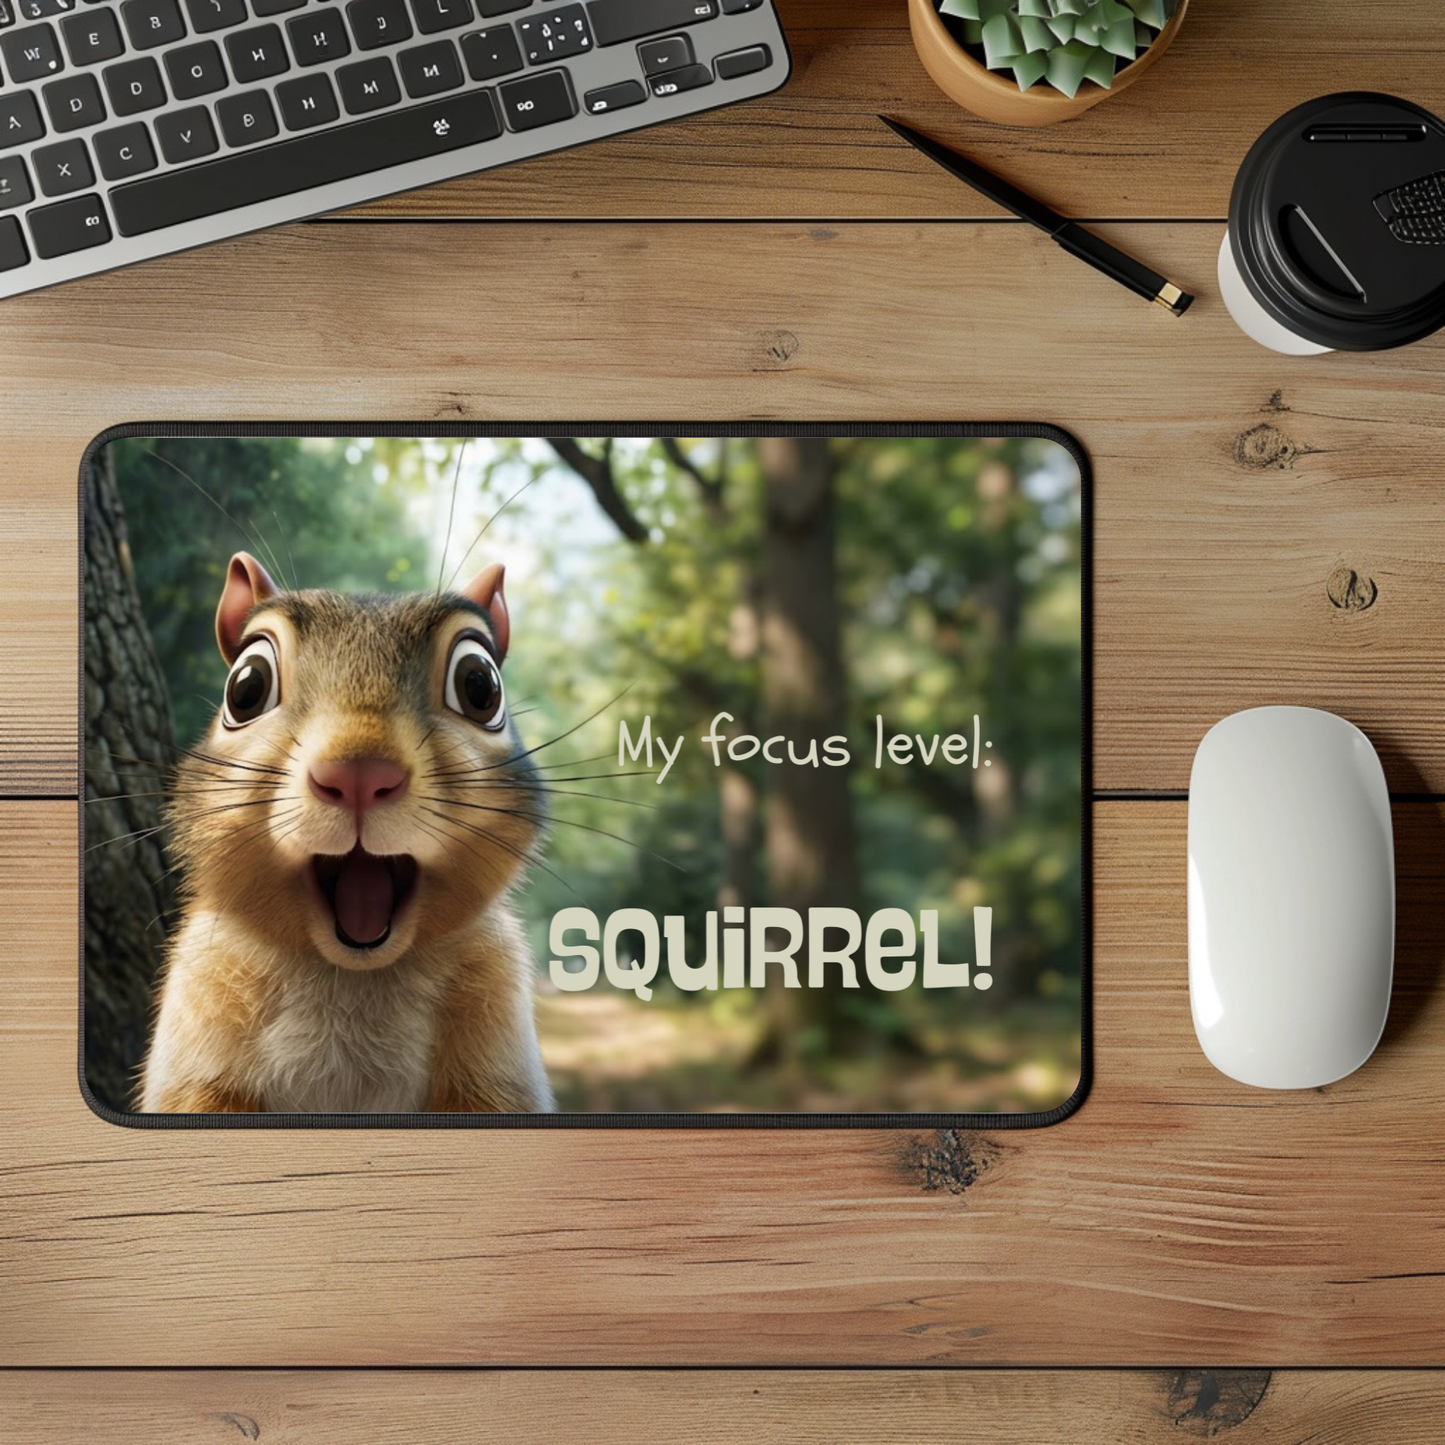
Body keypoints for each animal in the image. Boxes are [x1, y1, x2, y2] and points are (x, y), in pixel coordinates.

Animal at [137, 551, 556, 1114]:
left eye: (480, 686)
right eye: (246, 687)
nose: (359, 773)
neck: (352, 975)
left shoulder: (496, 1040)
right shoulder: (199, 1018)